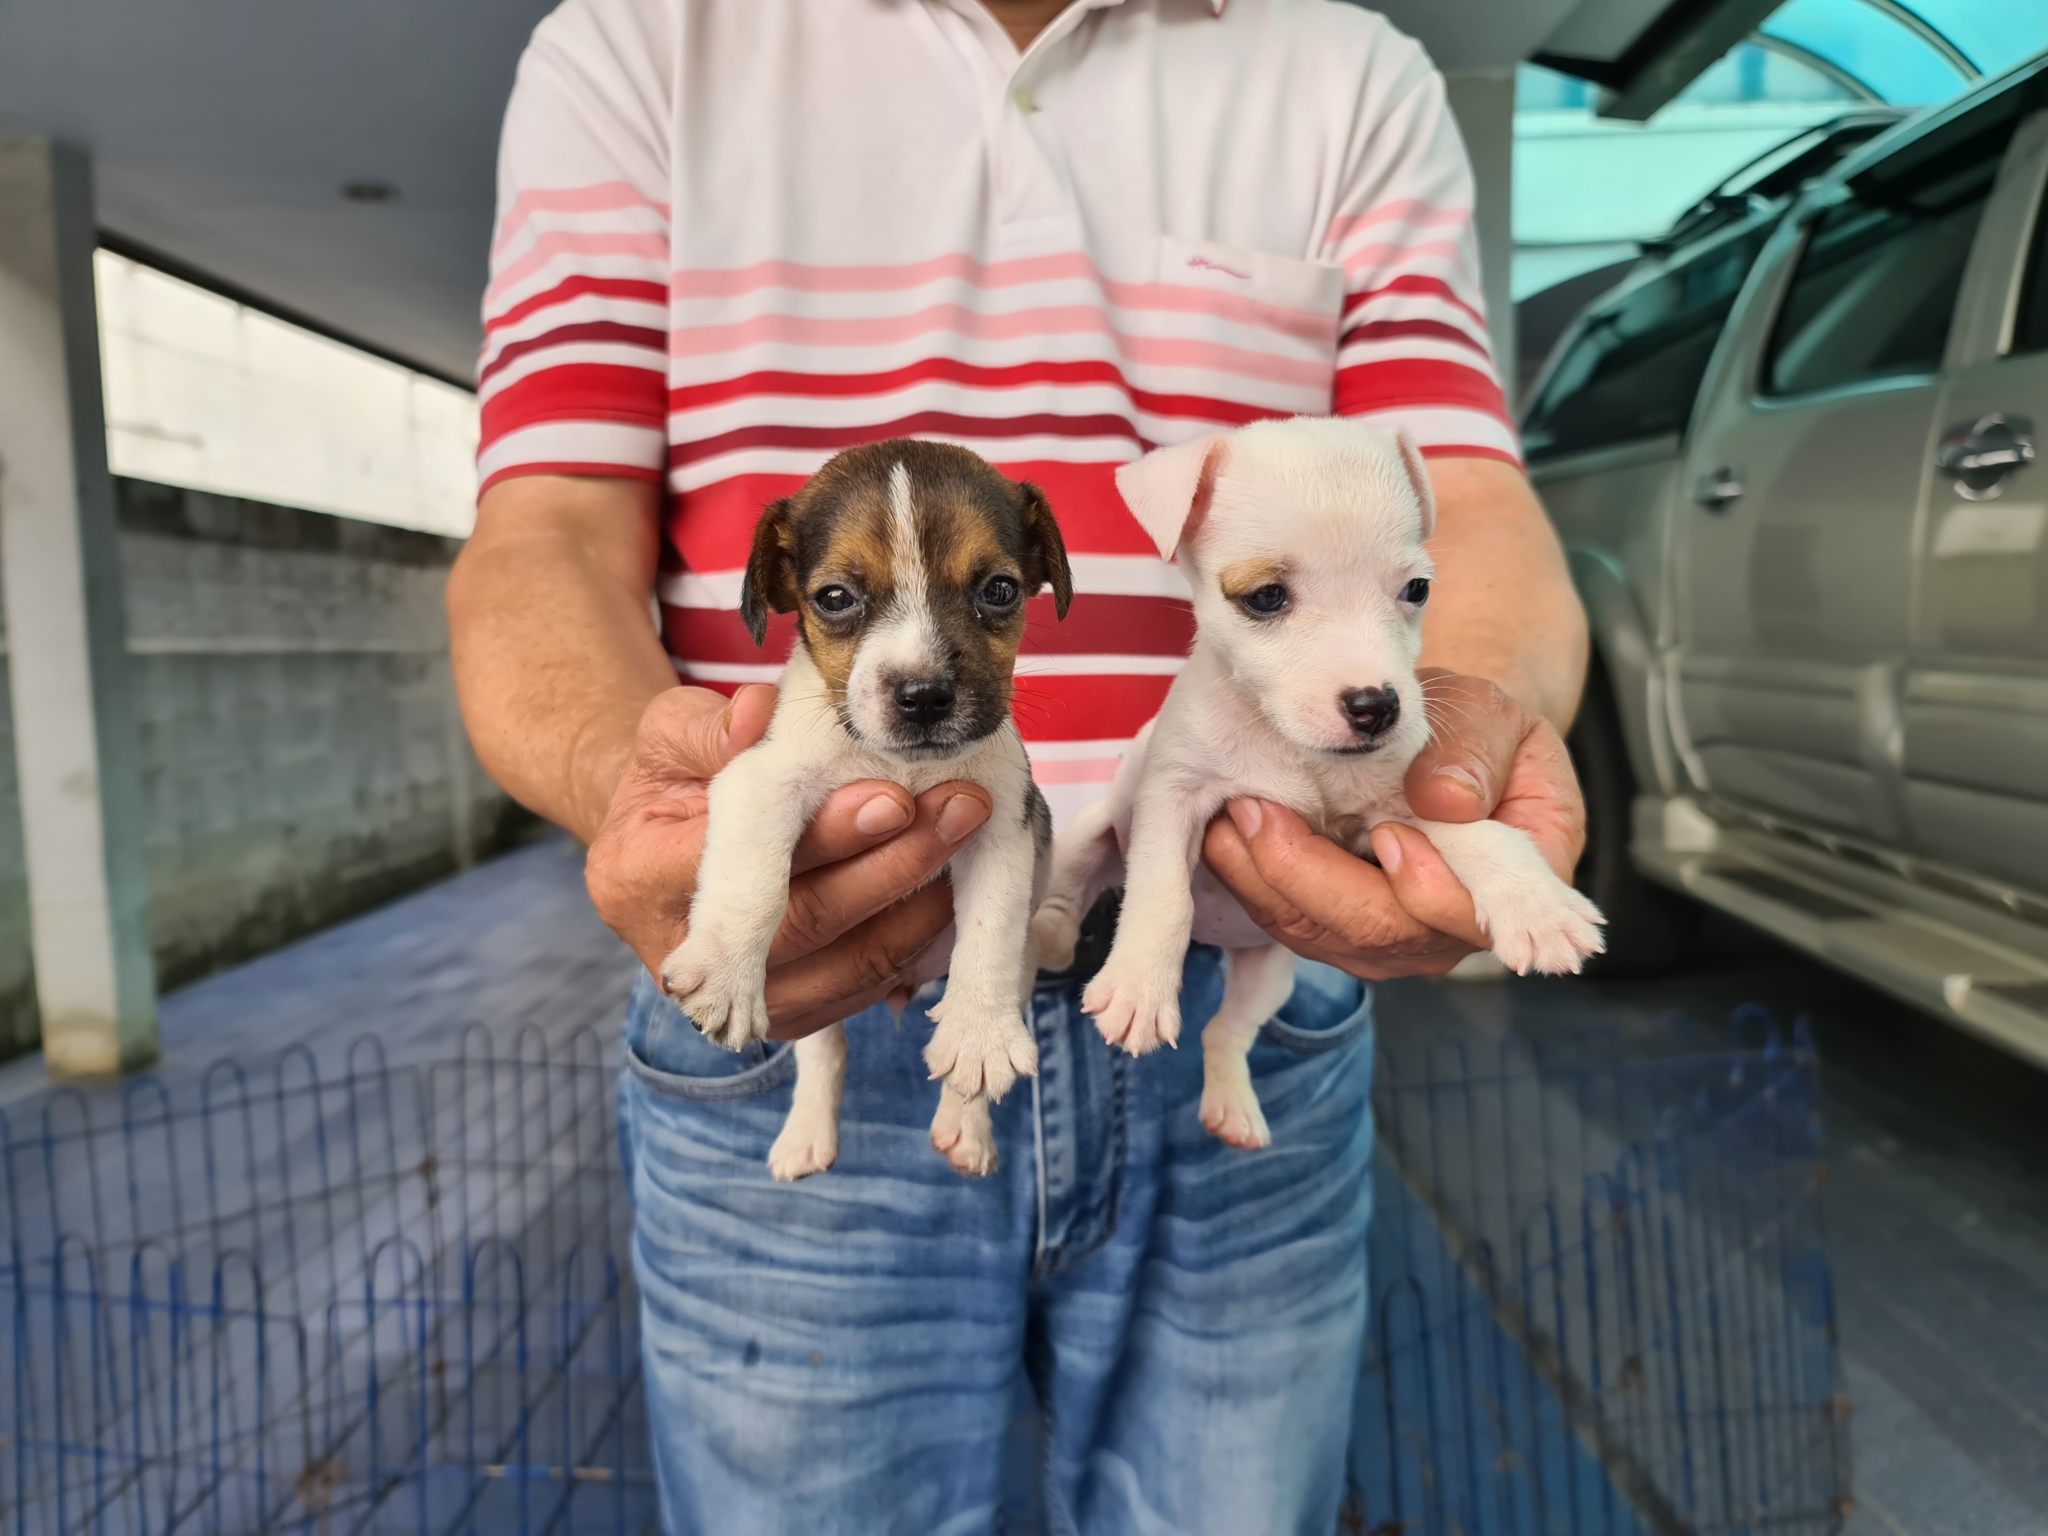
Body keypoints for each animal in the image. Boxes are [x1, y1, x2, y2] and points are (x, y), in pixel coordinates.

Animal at [658, 440, 1072, 1180]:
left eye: (999, 590)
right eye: (835, 599)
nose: (924, 695)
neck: (901, 767)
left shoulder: (1001, 827)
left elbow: (989, 932)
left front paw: (978, 1036)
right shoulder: (761, 782)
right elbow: (751, 886)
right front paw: (729, 976)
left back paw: (965, 1124)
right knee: (826, 1050)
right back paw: (805, 1135)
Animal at [1031, 417, 1604, 1150]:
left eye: (1417, 590)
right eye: (1265, 598)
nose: (1376, 707)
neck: (1290, 747)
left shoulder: (1401, 800)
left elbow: (1480, 834)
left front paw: (1537, 904)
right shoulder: (1173, 795)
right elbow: (1162, 894)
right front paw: (1138, 986)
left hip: (1268, 977)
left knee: (1225, 1031)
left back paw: (1232, 1106)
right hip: (1094, 828)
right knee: (1069, 888)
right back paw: (1048, 938)